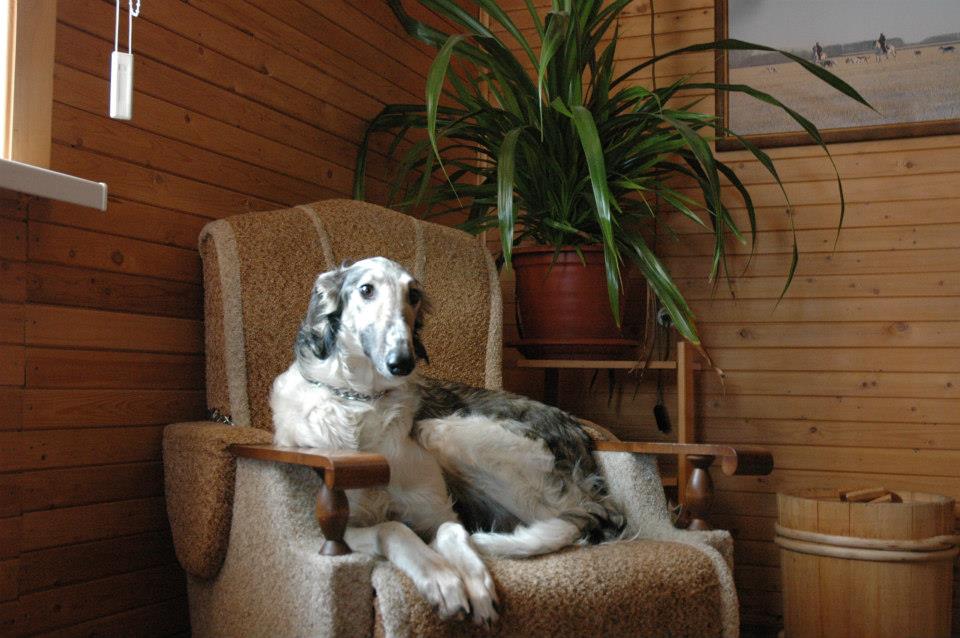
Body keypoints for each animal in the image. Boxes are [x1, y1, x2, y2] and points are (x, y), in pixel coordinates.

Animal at [270, 257, 624, 626]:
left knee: (576, 520)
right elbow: (391, 527)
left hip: (444, 434)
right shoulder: (339, 530)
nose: (402, 362)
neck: (360, 401)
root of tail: (577, 432)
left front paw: (470, 579)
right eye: (366, 289)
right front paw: (441, 577)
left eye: (413, 294)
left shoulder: (439, 513)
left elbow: (450, 532)